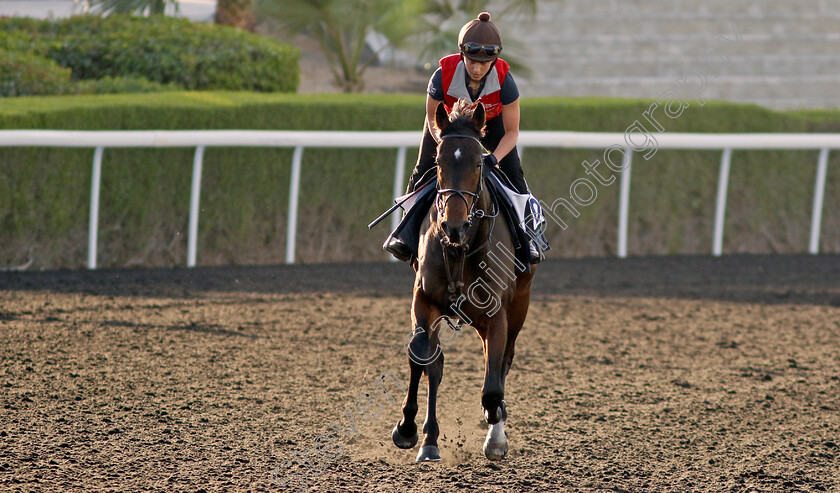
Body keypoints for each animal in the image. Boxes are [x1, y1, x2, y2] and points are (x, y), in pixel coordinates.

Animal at [390, 100, 536, 462]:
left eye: (478, 163)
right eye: (439, 162)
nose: (453, 225)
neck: (461, 246)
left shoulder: (497, 314)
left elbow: (493, 387)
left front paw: (495, 435)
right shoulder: (425, 299)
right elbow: (423, 357)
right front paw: (411, 431)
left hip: (518, 306)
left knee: (502, 363)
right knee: (435, 362)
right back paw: (427, 437)